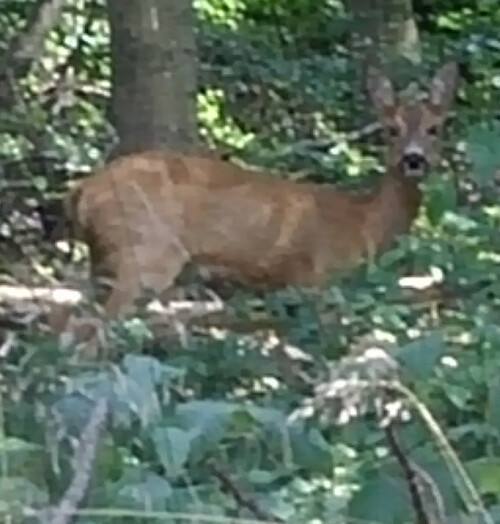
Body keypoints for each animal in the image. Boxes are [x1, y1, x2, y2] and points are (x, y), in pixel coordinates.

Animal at [65, 59, 458, 318]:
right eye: (391, 129)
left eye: (435, 128)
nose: (414, 159)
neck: (365, 222)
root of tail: (85, 190)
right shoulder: (316, 278)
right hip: (145, 251)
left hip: (105, 258)